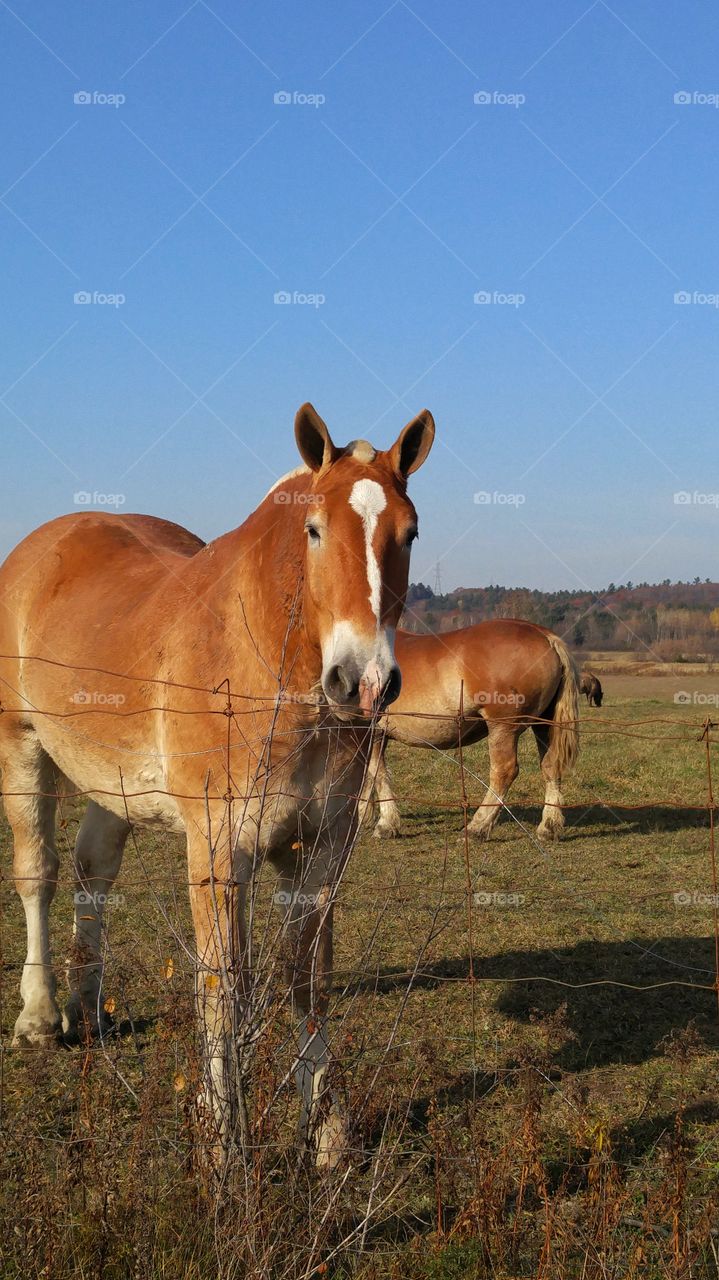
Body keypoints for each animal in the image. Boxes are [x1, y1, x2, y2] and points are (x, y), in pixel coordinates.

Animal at [0, 402, 435, 1168]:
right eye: (314, 529)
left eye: (408, 533)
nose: (364, 682)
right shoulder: (218, 846)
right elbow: (222, 984)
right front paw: (224, 1142)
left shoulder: (324, 845)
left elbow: (307, 976)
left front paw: (328, 1134)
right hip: (22, 748)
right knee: (38, 875)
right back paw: (40, 1016)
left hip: (112, 785)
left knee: (92, 869)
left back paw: (86, 1007)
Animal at [358, 619, 579, 842]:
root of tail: (544, 635)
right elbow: (368, 775)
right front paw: (363, 815)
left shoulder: (373, 732)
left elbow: (377, 774)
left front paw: (385, 824)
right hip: (544, 725)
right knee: (551, 766)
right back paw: (548, 826)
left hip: (503, 728)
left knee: (504, 772)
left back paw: (477, 827)